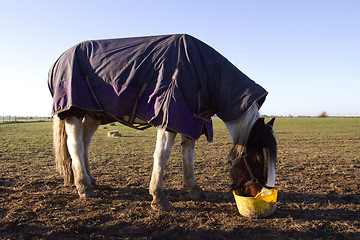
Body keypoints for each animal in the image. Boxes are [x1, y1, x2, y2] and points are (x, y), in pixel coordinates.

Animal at [48, 34, 278, 211]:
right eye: (259, 158)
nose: (264, 194)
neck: (202, 70)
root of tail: (59, 59)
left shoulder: (191, 120)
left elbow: (188, 156)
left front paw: (194, 190)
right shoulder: (169, 119)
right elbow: (162, 156)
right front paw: (159, 198)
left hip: (94, 115)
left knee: (85, 144)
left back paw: (91, 180)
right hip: (73, 112)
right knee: (75, 146)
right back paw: (84, 187)